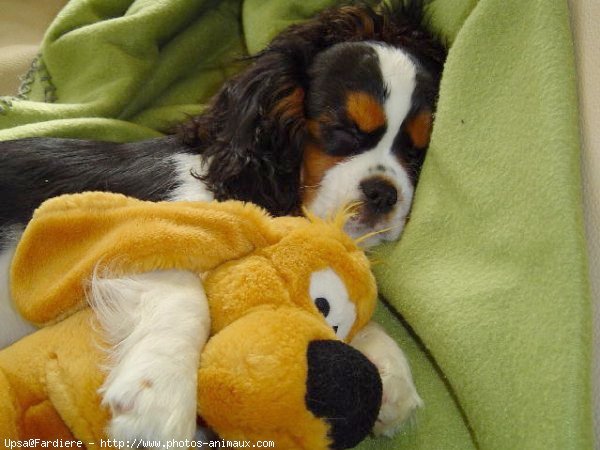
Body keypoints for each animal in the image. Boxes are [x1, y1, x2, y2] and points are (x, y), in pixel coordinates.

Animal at [0, 0, 440, 442]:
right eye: (343, 130)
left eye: (417, 153)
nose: (384, 193)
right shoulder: (107, 231)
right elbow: (185, 289)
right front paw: (159, 395)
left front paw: (390, 367)